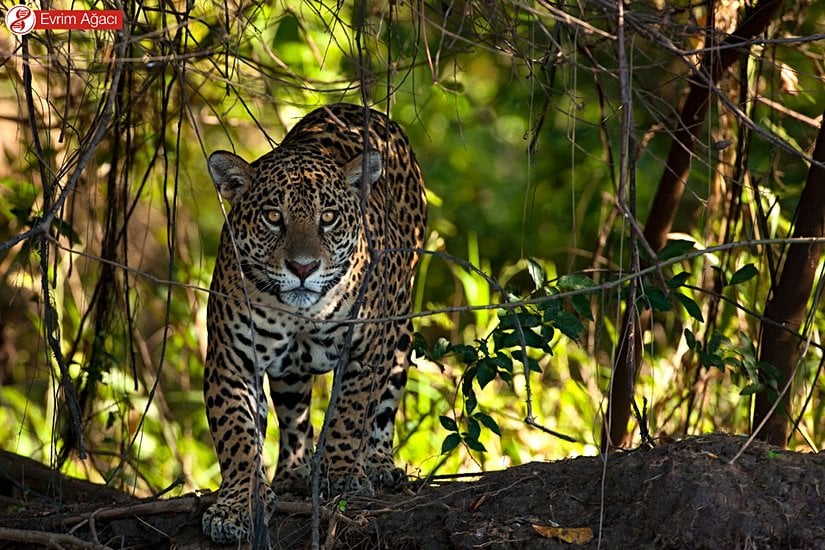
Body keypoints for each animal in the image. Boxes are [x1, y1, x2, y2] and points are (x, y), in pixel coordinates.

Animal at [201, 103, 427, 544]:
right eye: (273, 217)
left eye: (329, 217)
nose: (303, 267)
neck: (300, 314)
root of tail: (358, 108)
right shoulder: (231, 363)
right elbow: (237, 437)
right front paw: (235, 506)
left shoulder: (364, 348)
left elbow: (349, 412)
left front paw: (342, 475)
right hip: (289, 373)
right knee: (294, 415)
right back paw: (294, 473)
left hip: (400, 324)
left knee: (384, 402)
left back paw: (379, 464)